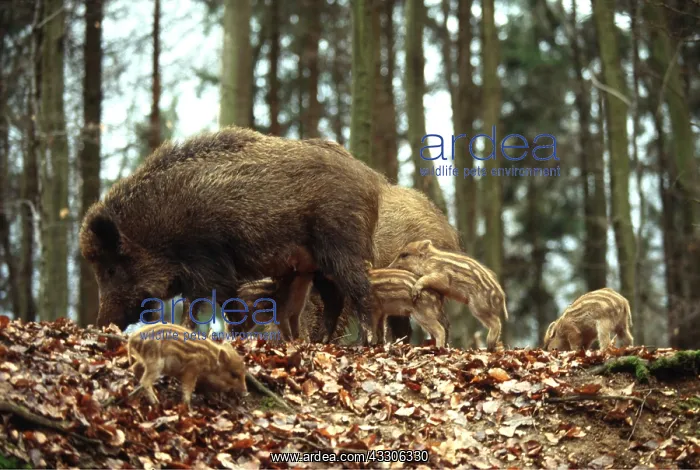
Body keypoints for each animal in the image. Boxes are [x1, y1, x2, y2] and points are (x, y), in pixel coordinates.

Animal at [79, 127, 387, 345]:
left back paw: (365, 342)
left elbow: (211, 305)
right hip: (318, 264)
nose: (101, 325)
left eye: (110, 269)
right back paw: (321, 342)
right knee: (335, 299)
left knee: (361, 291)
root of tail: (371, 178)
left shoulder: (208, 263)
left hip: (341, 245)